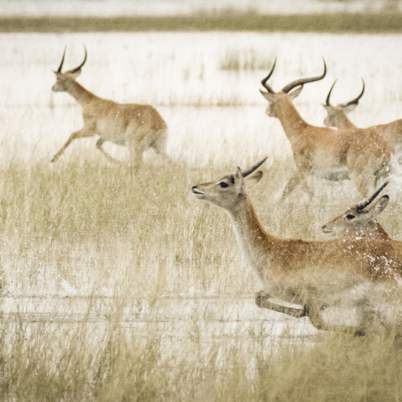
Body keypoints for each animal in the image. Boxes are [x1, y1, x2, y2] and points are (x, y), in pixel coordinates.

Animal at [191, 159, 402, 334]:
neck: (270, 249)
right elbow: (259, 298)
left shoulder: (312, 298)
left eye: (224, 182)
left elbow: (319, 322)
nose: (196, 187)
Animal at [260, 60, 392, 200]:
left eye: (271, 102)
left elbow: (290, 192)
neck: (302, 131)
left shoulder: (302, 170)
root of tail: (383, 148)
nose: (267, 111)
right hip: (377, 178)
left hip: (360, 178)